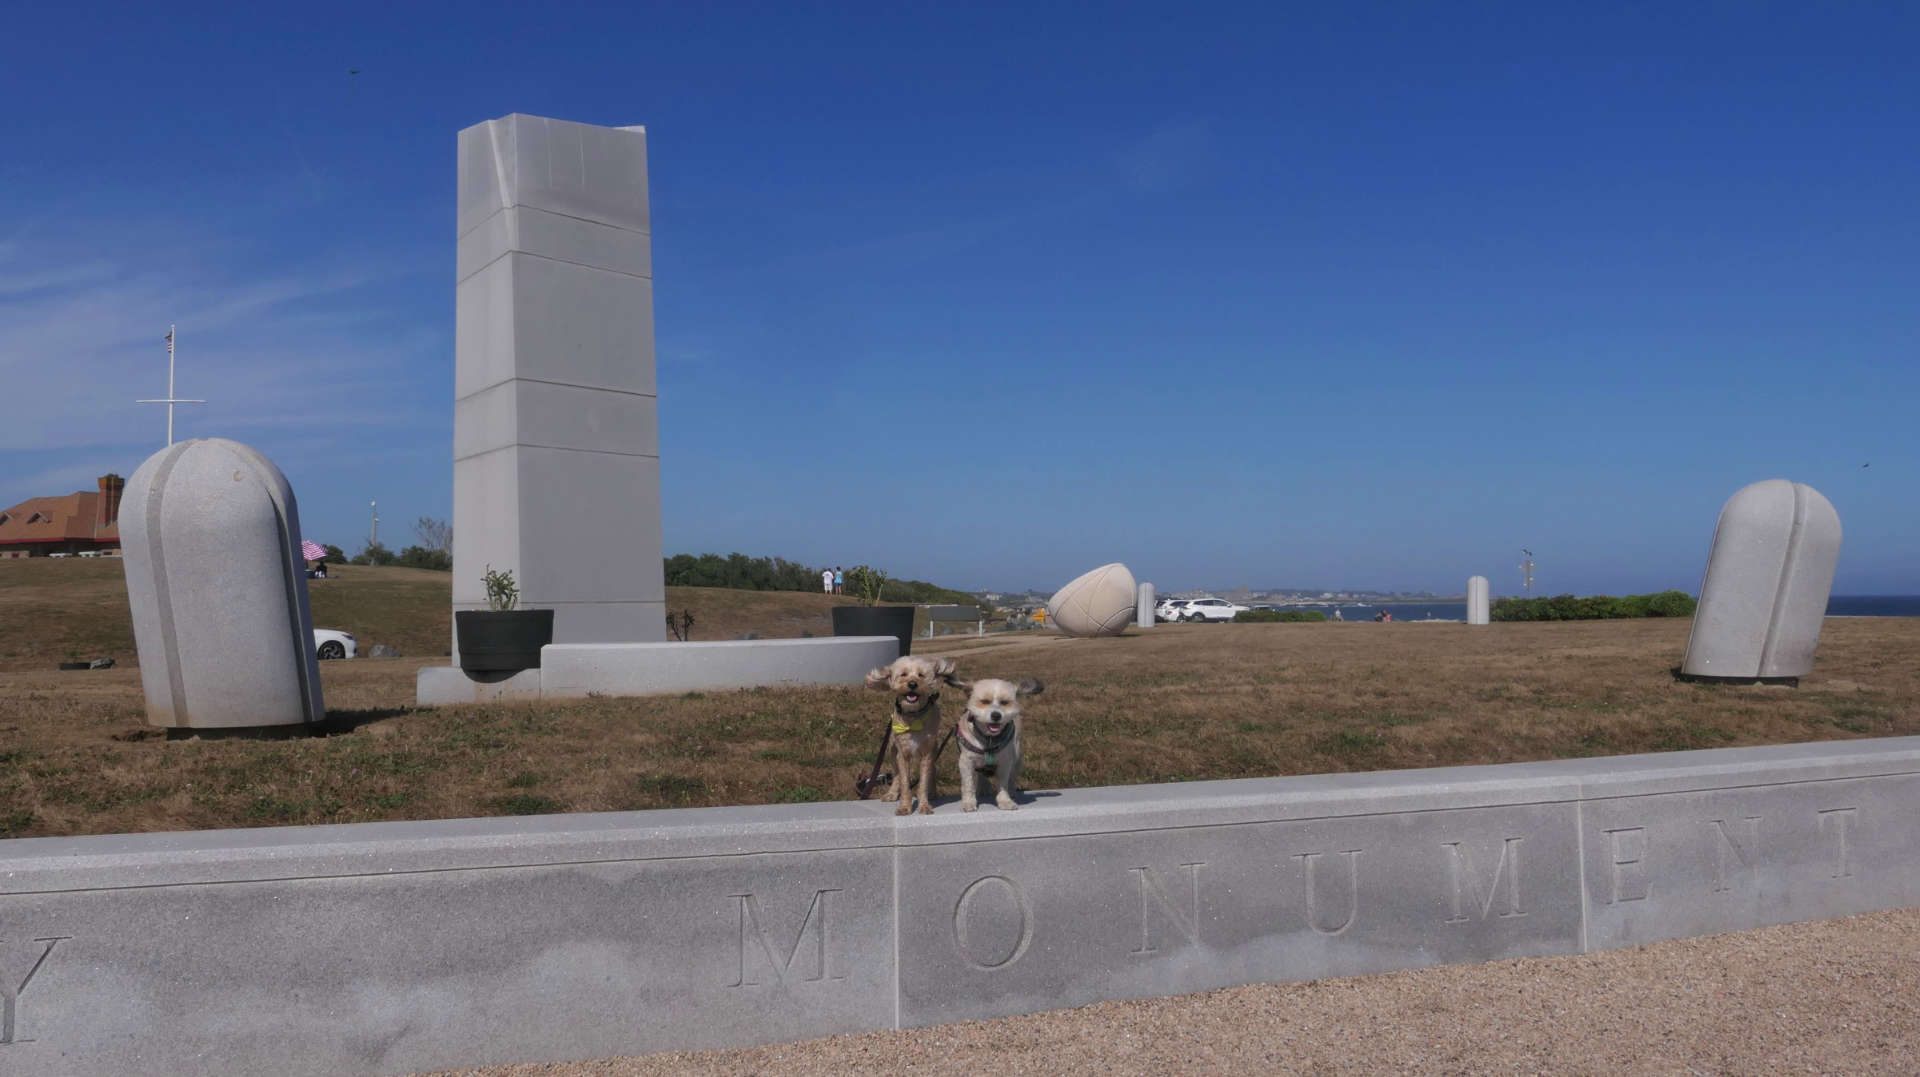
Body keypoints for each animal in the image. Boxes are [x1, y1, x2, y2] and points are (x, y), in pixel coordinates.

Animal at [867, 656, 960, 813]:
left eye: (921, 675)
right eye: (903, 674)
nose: (912, 684)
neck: (913, 716)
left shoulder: (927, 753)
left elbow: (923, 782)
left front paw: (924, 805)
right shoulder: (902, 754)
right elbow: (904, 781)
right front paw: (905, 807)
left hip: (934, 749)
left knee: (932, 771)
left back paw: (932, 792)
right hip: (892, 750)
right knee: (896, 774)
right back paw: (892, 793)